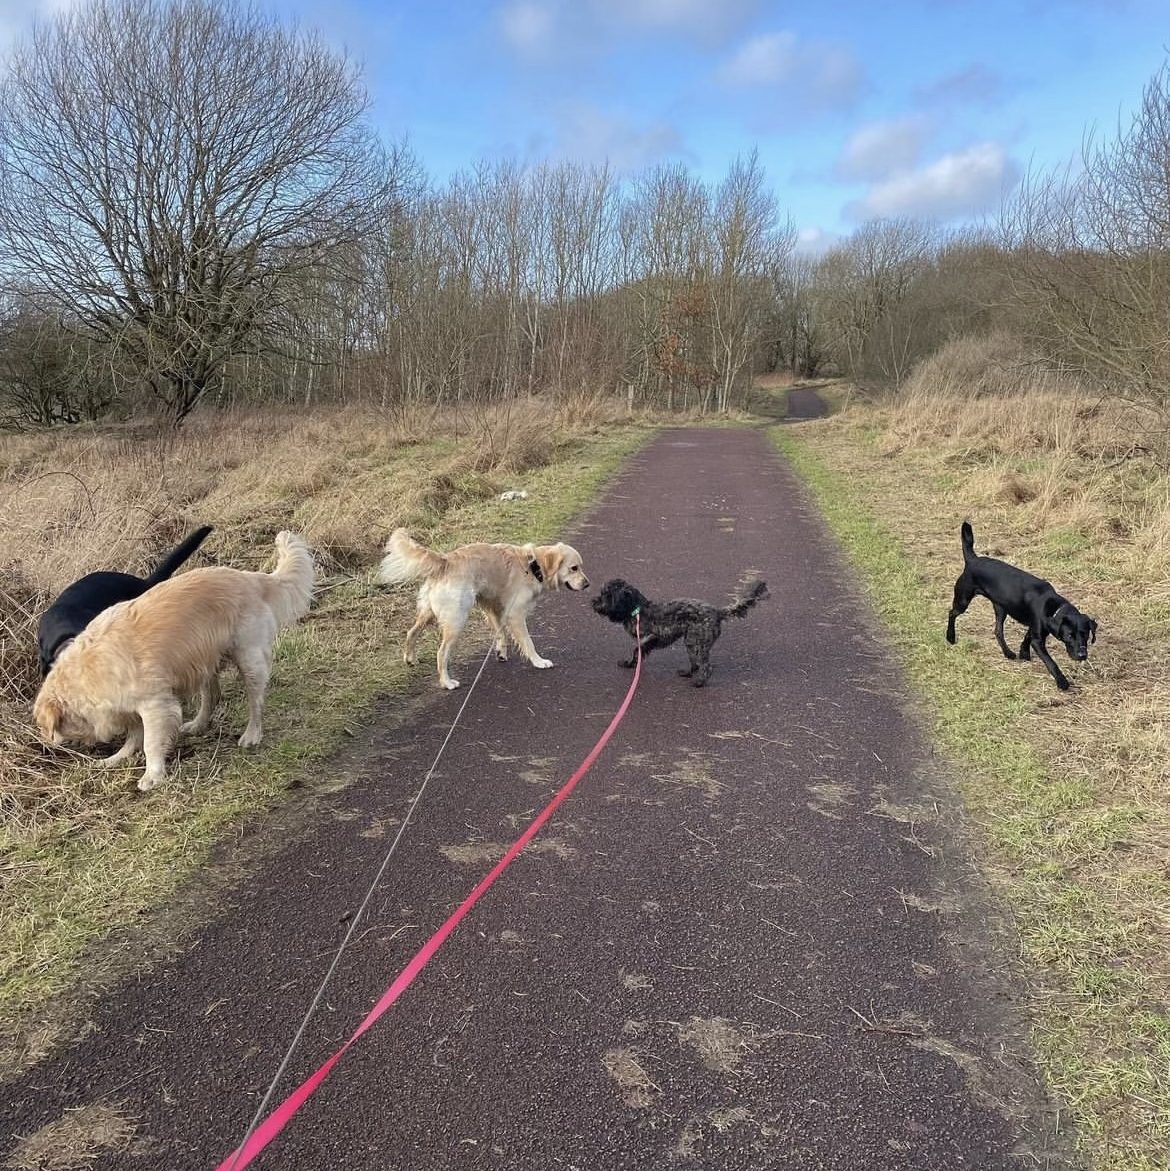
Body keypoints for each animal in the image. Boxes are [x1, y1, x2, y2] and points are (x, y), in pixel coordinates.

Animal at [377, 527, 589, 689]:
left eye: (580, 566)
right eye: (574, 568)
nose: (587, 585)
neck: (533, 566)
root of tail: (445, 561)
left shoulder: (494, 608)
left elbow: (501, 635)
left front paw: (501, 653)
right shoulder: (515, 614)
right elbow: (528, 642)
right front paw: (539, 661)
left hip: (427, 613)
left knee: (411, 632)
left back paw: (410, 659)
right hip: (457, 619)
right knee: (441, 652)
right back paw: (447, 682)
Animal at [591, 576, 769, 686]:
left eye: (607, 595)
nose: (593, 601)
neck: (637, 609)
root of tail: (717, 612)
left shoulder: (651, 637)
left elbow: (636, 651)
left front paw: (630, 664)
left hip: (697, 643)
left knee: (706, 666)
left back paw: (699, 682)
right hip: (691, 642)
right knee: (695, 664)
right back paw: (687, 673)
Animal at [945, 520, 1097, 691]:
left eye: (1085, 634)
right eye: (1070, 635)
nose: (1082, 655)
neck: (1054, 608)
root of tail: (972, 559)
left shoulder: (1035, 627)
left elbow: (1026, 637)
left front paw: (1023, 654)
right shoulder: (1038, 640)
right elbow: (1050, 662)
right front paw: (1062, 681)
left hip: (1001, 608)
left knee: (998, 631)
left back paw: (1008, 653)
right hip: (963, 600)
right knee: (951, 613)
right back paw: (950, 637)